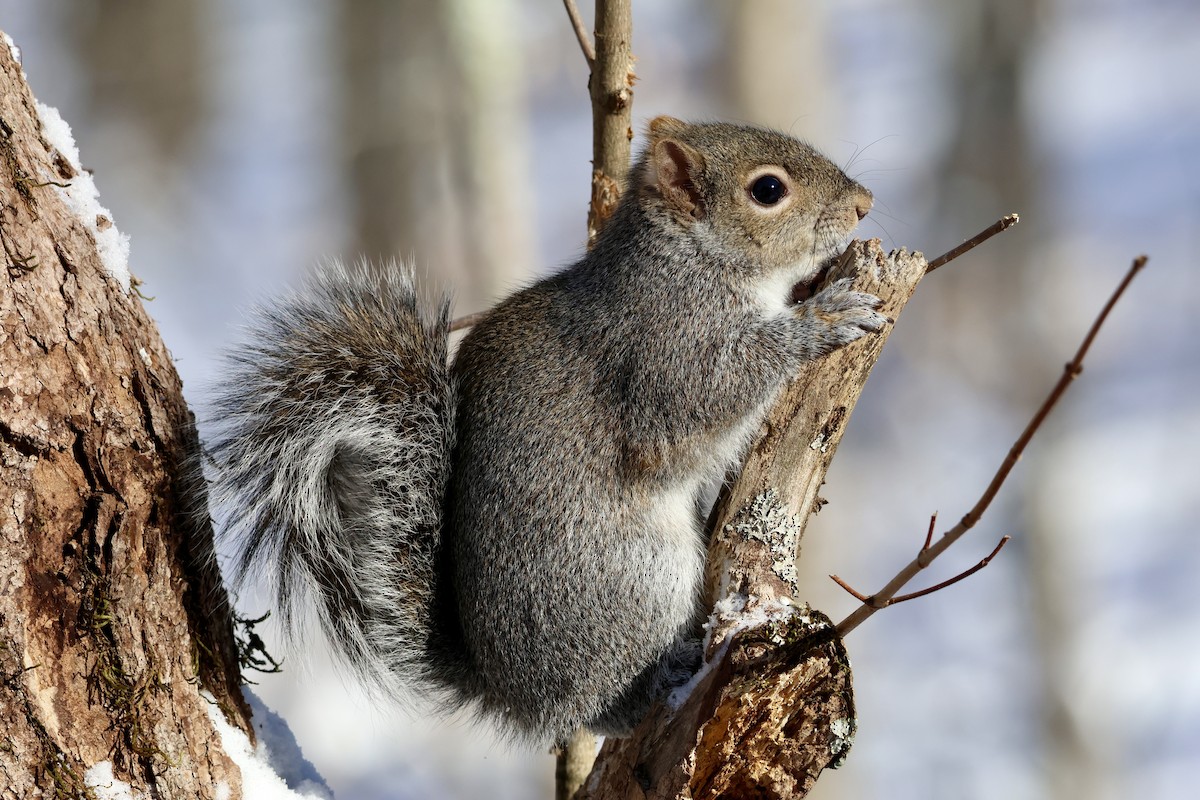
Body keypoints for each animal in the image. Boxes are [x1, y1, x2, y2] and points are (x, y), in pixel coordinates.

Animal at [210, 116, 885, 745]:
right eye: (768, 189)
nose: (864, 202)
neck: (691, 261)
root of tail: (516, 699)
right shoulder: (662, 353)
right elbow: (710, 395)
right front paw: (825, 315)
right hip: (636, 578)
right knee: (606, 705)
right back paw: (665, 675)